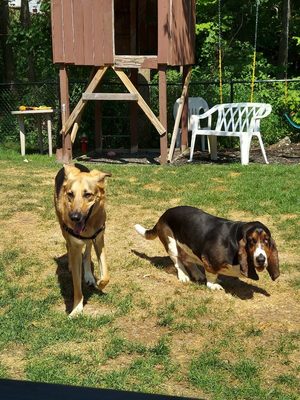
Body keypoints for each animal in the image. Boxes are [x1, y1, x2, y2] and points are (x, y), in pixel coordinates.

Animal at [54, 164, 110, 318]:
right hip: (63, 230)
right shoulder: (75, 245)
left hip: (91, 240)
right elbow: (77, 285)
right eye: (70, 194)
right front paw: (77, 308)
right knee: (68, 246)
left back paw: (89, 276)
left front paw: (100, 283)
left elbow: (106, 274)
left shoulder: (99, 239)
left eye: (87, 194)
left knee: (87, 251)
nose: (74, 217)